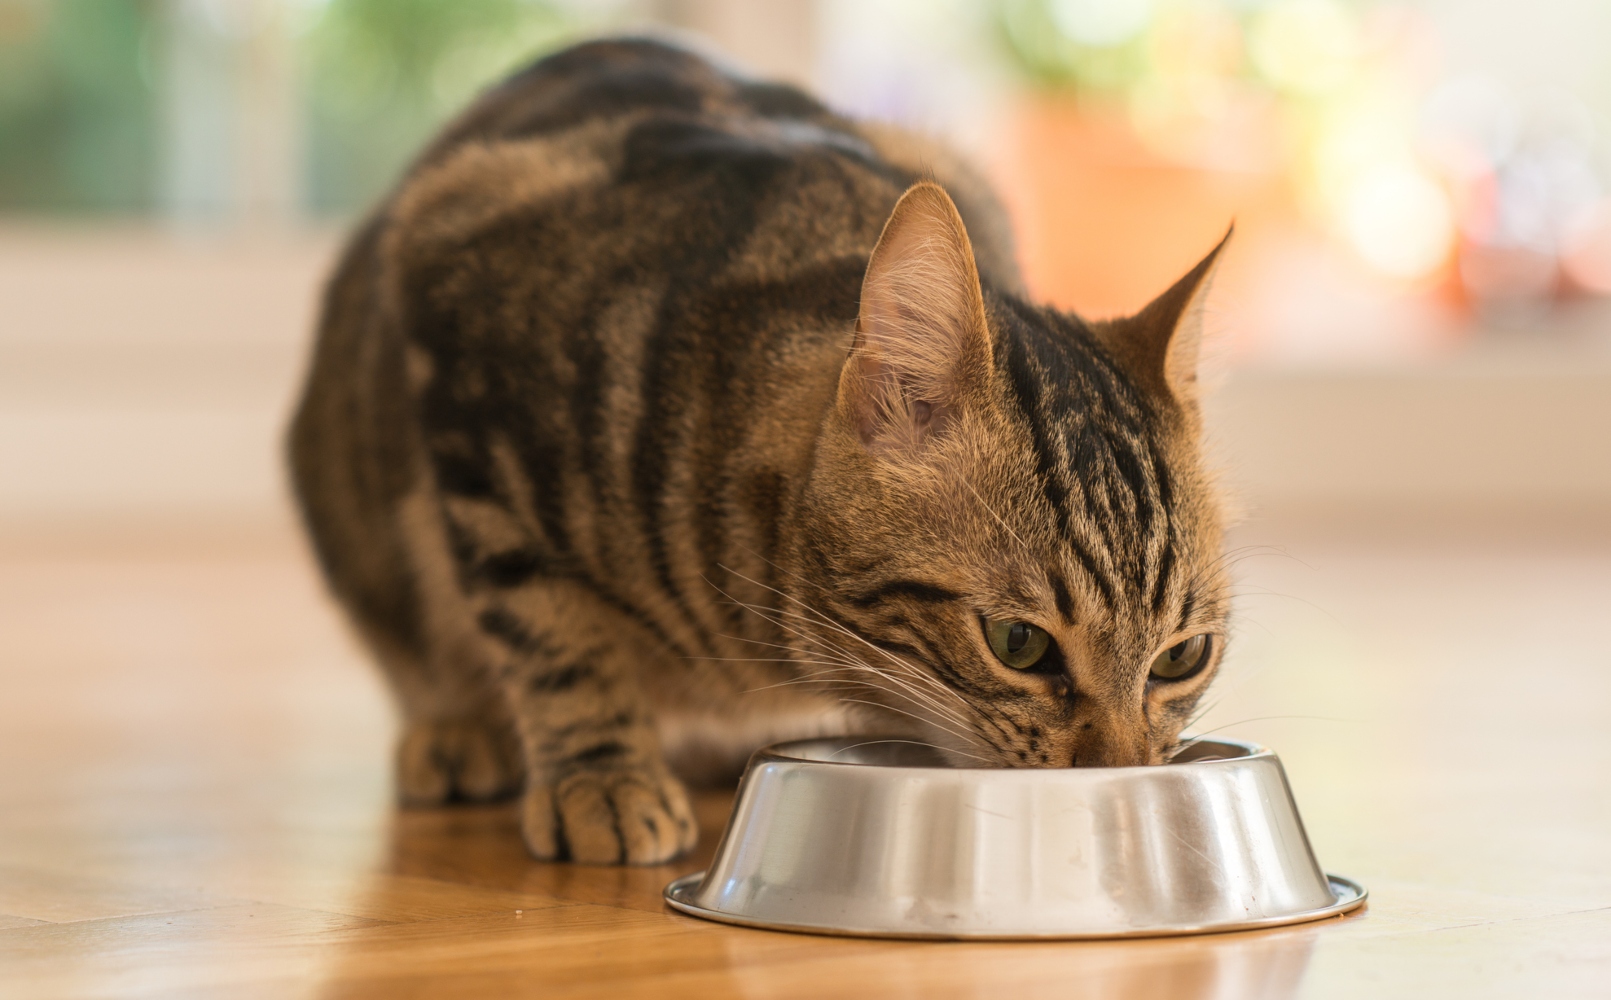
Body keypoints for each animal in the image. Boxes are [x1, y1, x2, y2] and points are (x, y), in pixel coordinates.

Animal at [289, 39, 1224, 863]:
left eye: (1182, 657)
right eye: (1017, 644)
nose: (1120, 775)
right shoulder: (466, 361)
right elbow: (551, 635)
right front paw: (602, 777)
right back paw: (460, 733)